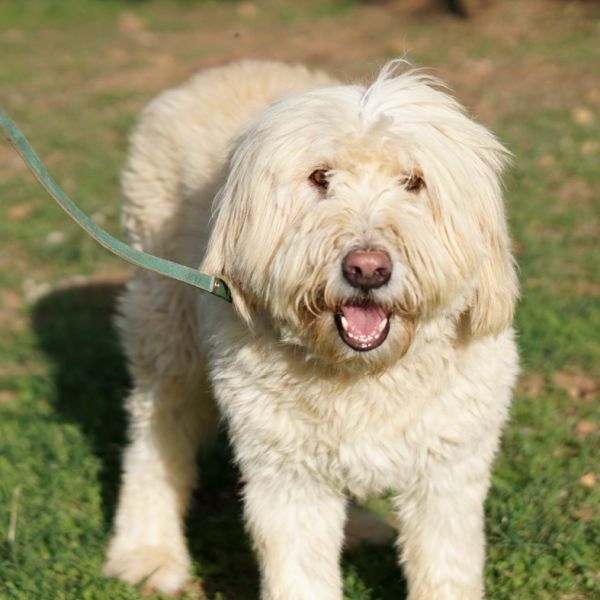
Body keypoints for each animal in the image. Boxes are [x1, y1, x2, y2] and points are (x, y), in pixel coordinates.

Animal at [104, 60, 519, 599]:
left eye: (413, 181)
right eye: (320, 177)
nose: (367, 269)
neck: (363, 374)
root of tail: (220, 71)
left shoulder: (448, 468)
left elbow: (445, 566)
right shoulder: (286, 475)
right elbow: (300, 571)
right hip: (165, 328)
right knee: (156, 435)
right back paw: (147, 551)